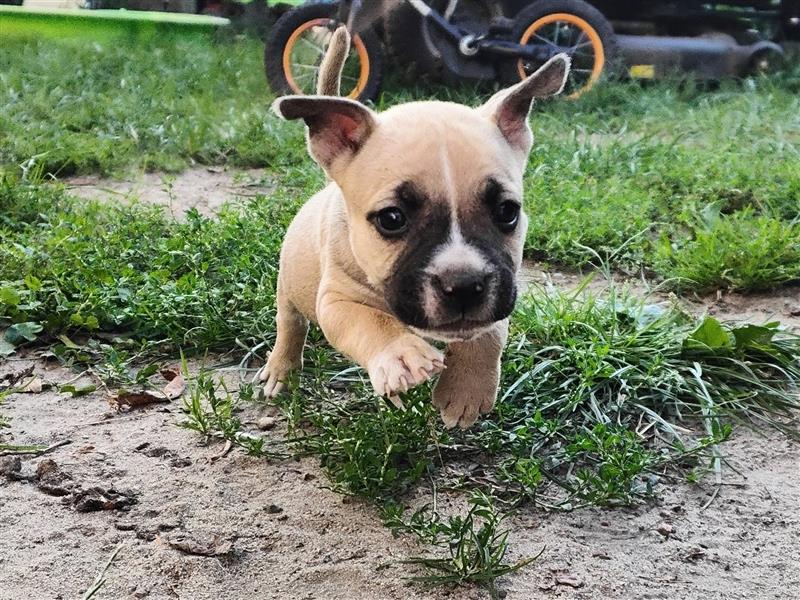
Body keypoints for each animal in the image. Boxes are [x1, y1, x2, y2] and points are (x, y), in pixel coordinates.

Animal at [260, 38, 568, 426]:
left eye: (507, 212)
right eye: (392, 219)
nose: (464, 285)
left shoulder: (502, 290)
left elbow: (490, 333)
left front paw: (465, 391)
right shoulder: (336, 301)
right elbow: (372, 321)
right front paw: (401, 354)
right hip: (289, 285)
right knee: (290, 324)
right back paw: (282, 371)